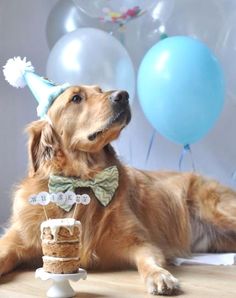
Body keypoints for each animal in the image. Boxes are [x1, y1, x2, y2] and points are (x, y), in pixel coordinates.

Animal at [0, 85, 236, 294]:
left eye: (99, 89)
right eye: (76, 98)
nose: (123, 95)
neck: (84, 181)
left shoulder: (140, 240)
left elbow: (148, 260)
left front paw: (159, 276)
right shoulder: (16, 237)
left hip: (219, 212)